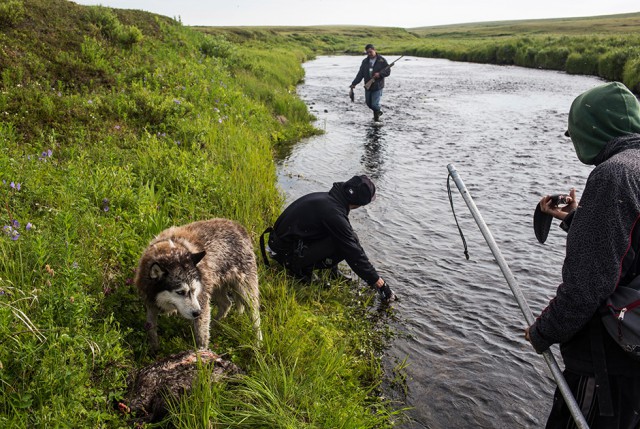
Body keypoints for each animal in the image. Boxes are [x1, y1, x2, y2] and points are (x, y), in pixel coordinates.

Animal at [135, 219, 262, 350]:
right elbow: (151, 328)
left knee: (255, 316)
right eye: (180, 292)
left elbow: (202, 336)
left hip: (245, 292)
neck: (168, 251)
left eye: (194, 290)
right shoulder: (151, 304)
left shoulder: (202, 303)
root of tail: (239, 227)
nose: (197, 313)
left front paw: (201, 353)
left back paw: (258, 343)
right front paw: (154, 349)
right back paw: (215, 324)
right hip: (215, 288)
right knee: (226, 304)